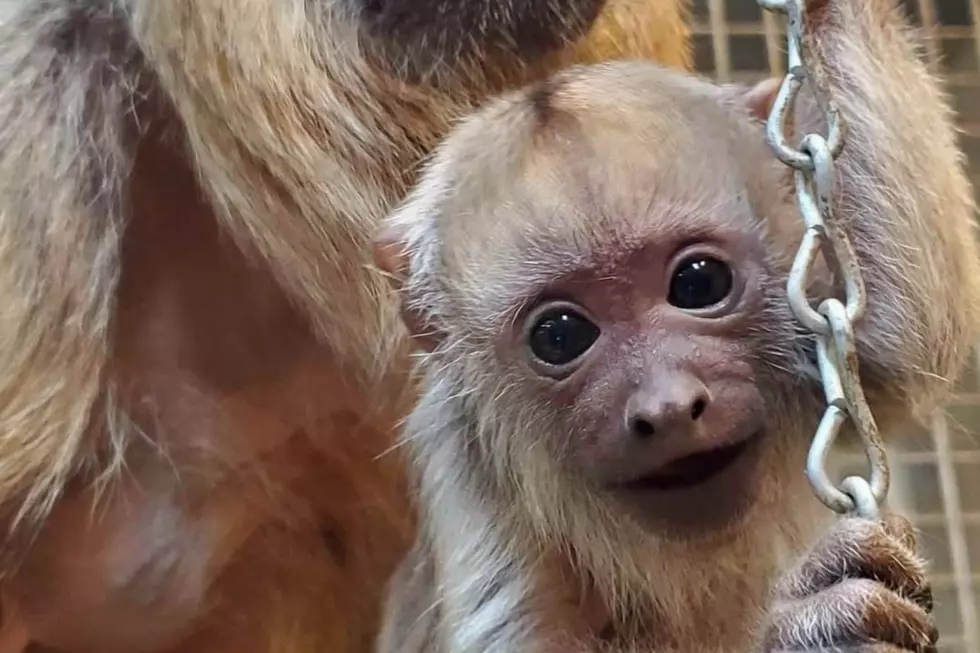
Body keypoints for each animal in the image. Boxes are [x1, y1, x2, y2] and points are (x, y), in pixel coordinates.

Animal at [372, 0, 980, 648]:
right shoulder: (464, 464)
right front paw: (815, 625)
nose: (666, 408)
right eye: (558, 335)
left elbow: (894, 347)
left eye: (698, 283)